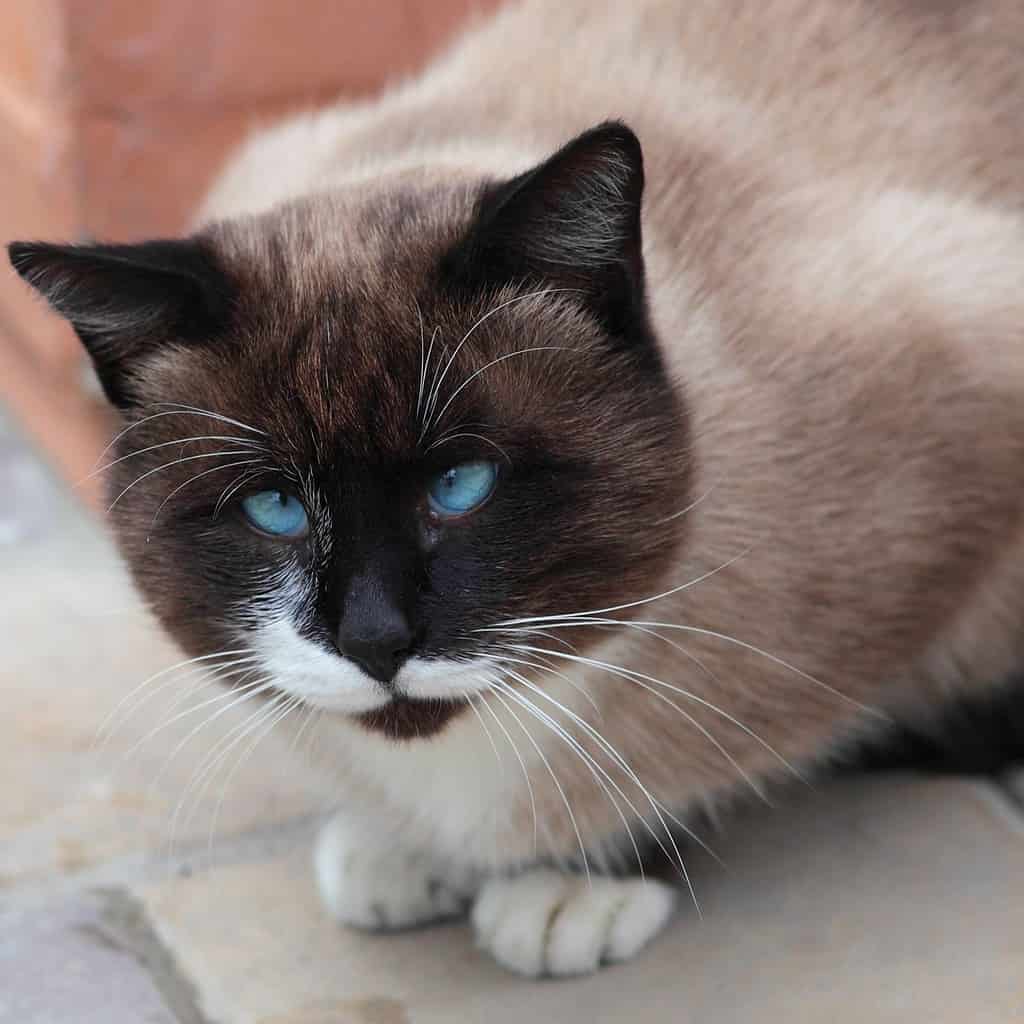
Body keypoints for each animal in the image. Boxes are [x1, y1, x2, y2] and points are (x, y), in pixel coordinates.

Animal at [8, 0, 1024, 974]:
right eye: (275, 509)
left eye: (462, 484)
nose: (374, 639)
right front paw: (401, 848)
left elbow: (688, 762)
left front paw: (574, 882)